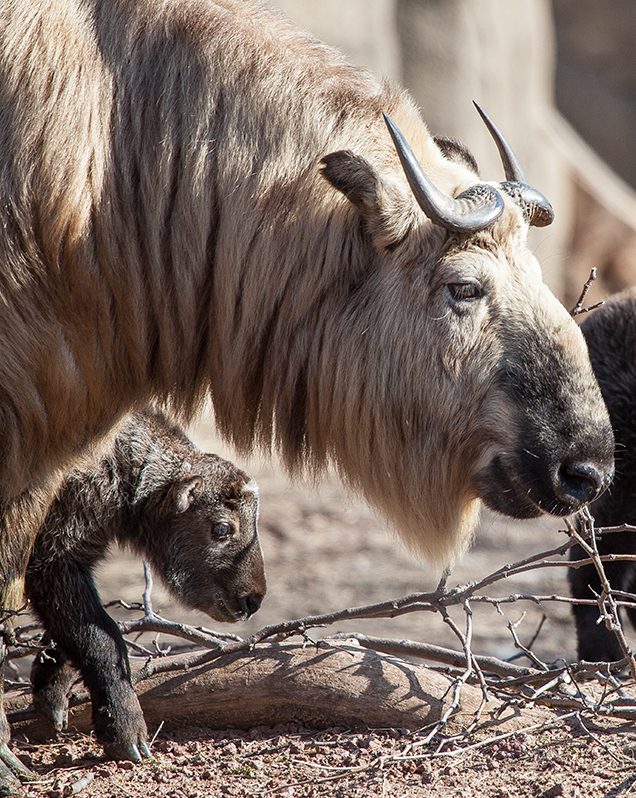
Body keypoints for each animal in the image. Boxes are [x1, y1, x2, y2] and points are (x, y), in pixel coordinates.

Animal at [26, 410, 264, 764]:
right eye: (222, 528)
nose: (253, 599)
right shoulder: (52, 554)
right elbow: (102, 637)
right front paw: (125, 730)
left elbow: (74, 627)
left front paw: (50, 690)